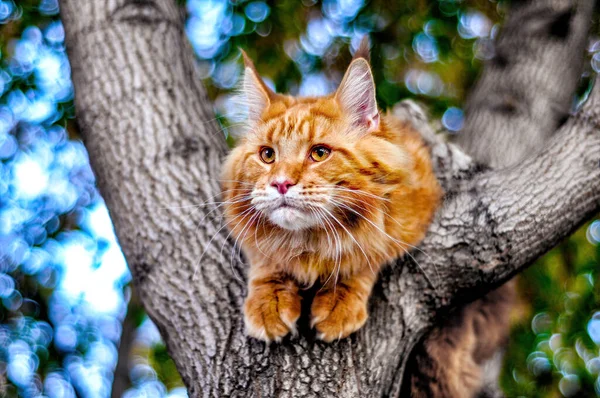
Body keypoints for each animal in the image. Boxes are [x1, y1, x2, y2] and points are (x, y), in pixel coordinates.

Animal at [220, 42, 440, 342]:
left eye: (320, 153)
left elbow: (365, 258)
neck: (309, 243)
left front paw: (339, 301)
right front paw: (269, 303)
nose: (281, 183)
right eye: (267, 155)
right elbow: (266, 262)